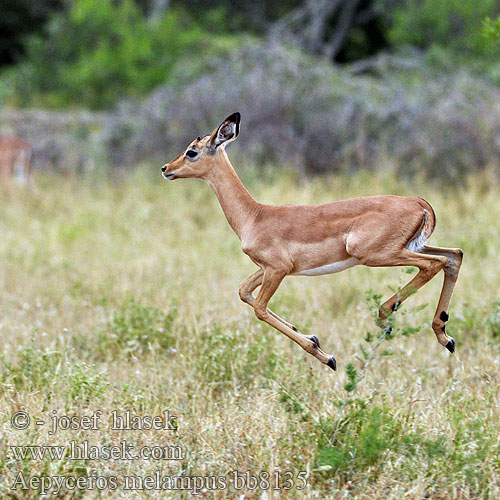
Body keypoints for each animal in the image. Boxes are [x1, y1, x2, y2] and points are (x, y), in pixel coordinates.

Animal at [162, 114, 462, 372]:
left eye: (192, 151)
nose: (166, 169)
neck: (255, 216)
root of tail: (420, 203)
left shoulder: (278, 269)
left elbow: (259, 308)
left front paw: (326, 355)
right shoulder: (266, 269)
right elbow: (244, 291)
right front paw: (313, 338)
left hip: (376, 254)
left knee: (434, 263)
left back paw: (387, 315)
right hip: (410, 247)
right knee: (453, 256)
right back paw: (445, 337)